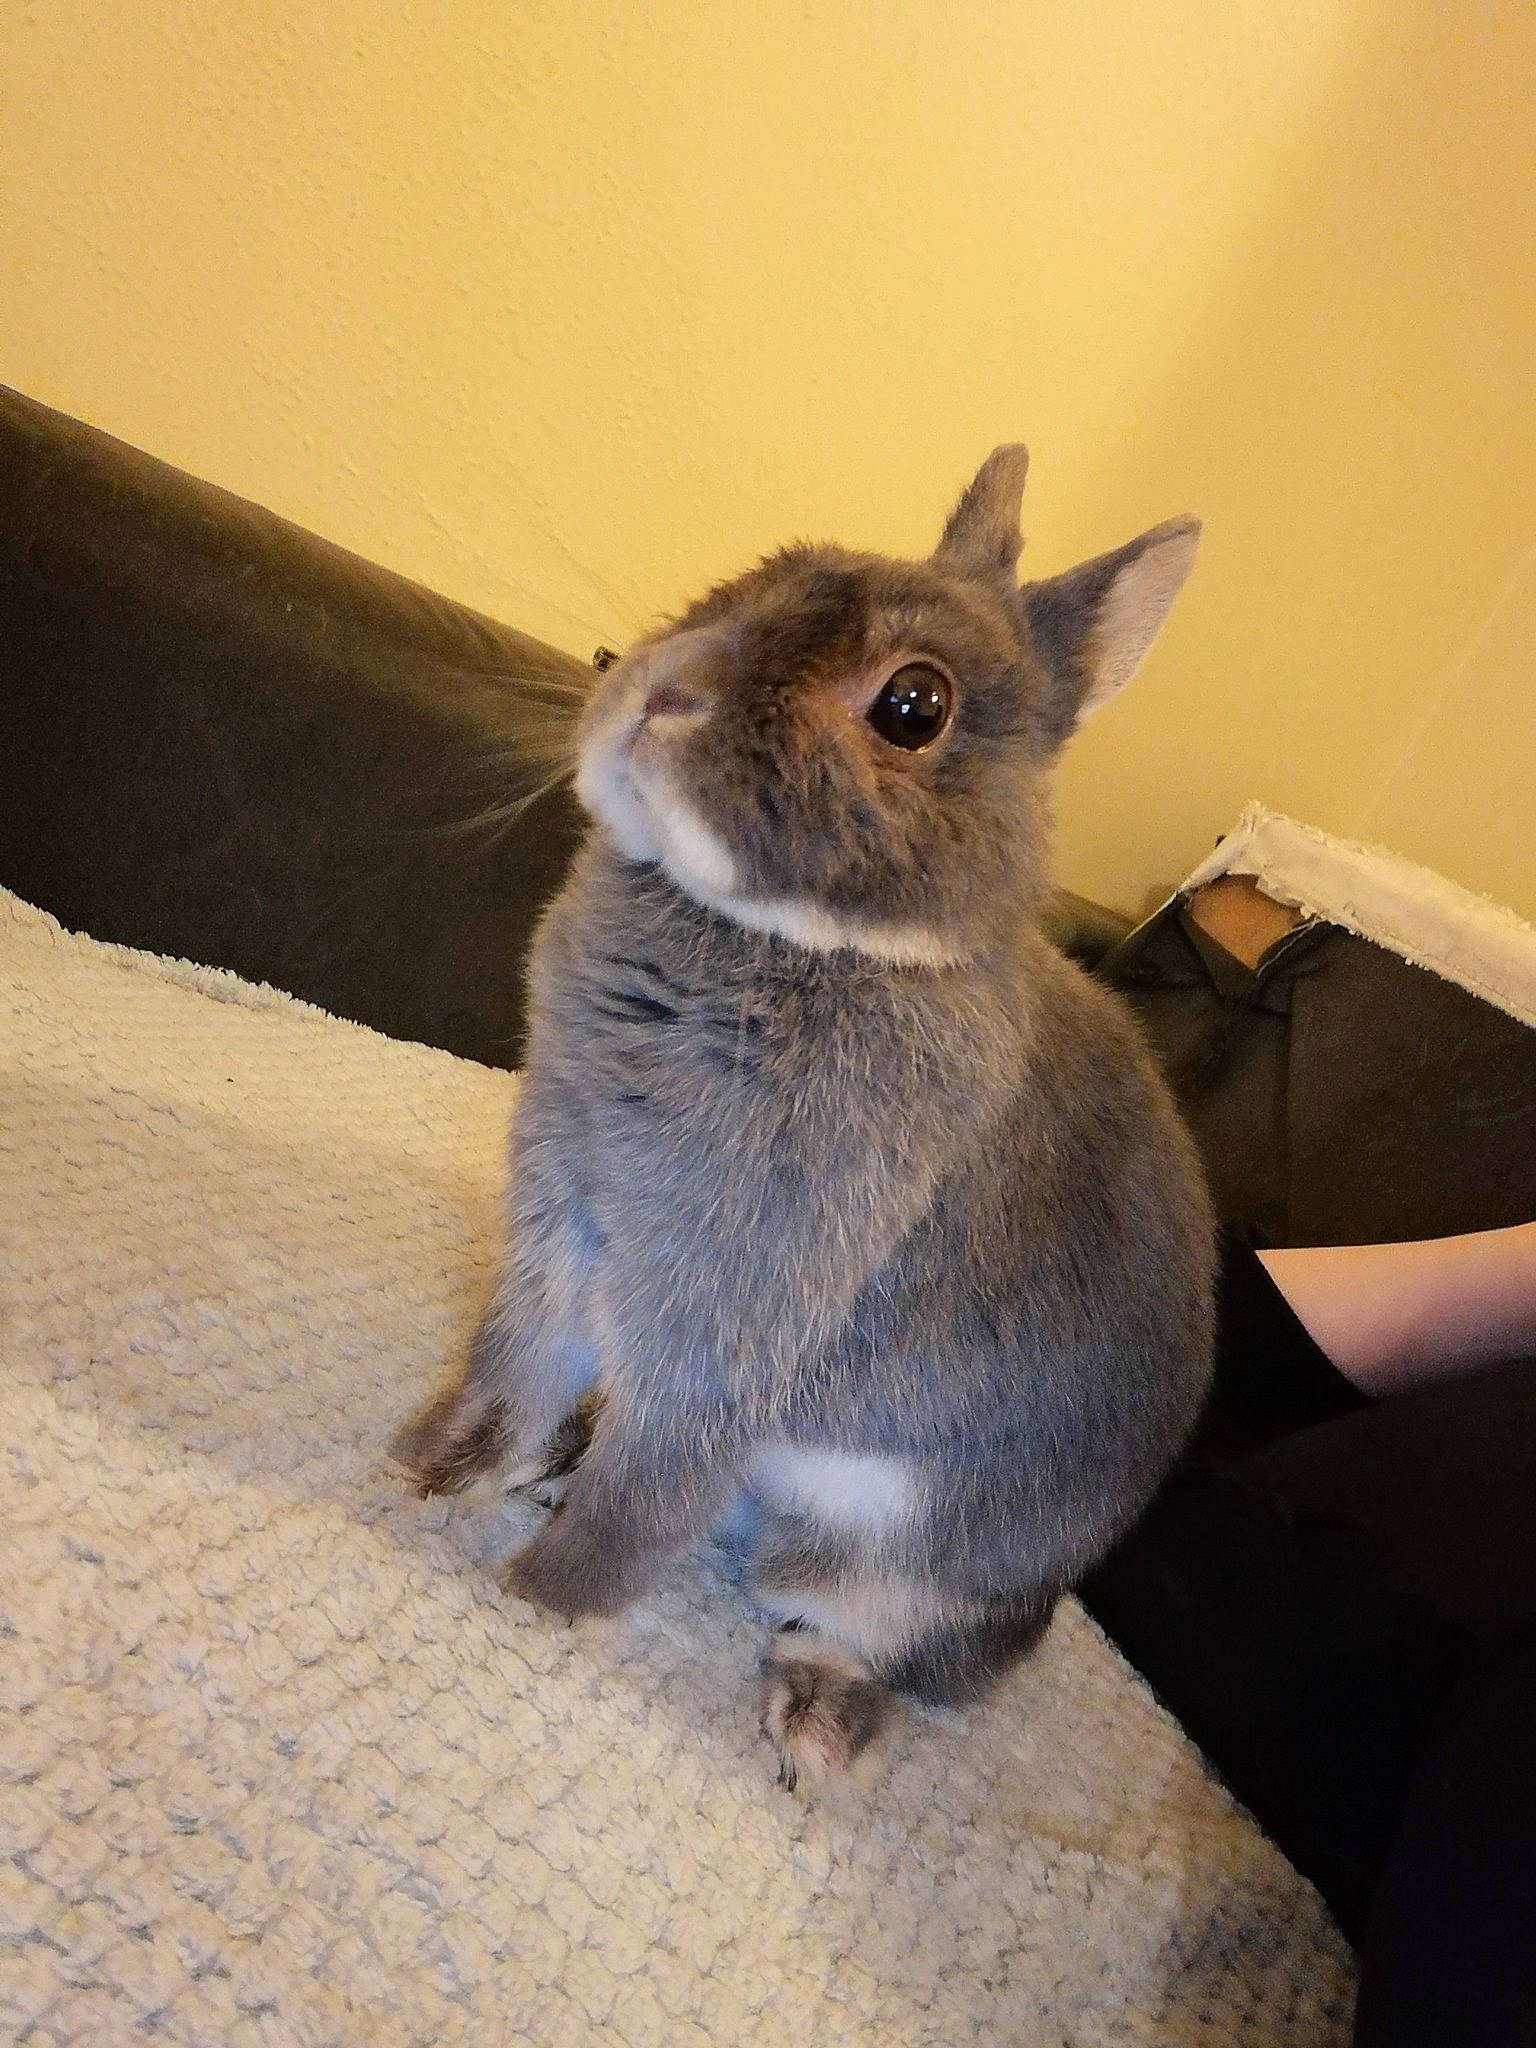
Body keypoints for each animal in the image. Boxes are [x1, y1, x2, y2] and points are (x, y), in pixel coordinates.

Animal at [394, 446, 1215, 1790]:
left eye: (914, 706)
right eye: (759, 576)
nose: (663, 689)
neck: (800, 942)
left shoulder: (739, 1310)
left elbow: (648, 1492)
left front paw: (533, 1598)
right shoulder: (563, 1216)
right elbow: (513, 1364)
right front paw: (433, 1466)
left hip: (904, 1576)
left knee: (883, 1649)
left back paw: (819, 1729)